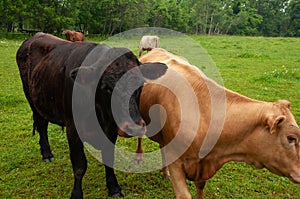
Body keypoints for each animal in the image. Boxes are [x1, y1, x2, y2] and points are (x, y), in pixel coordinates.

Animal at [16, 33, 168, 198]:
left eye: (140, 85)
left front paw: (114, 187)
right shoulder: (73, 129)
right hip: (32, 100)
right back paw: (46, 154)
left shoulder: (110, 129)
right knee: (42, 125)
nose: (134, 128)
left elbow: (109, 158)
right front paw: (76, 194)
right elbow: (79, 166)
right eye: (106, 88)